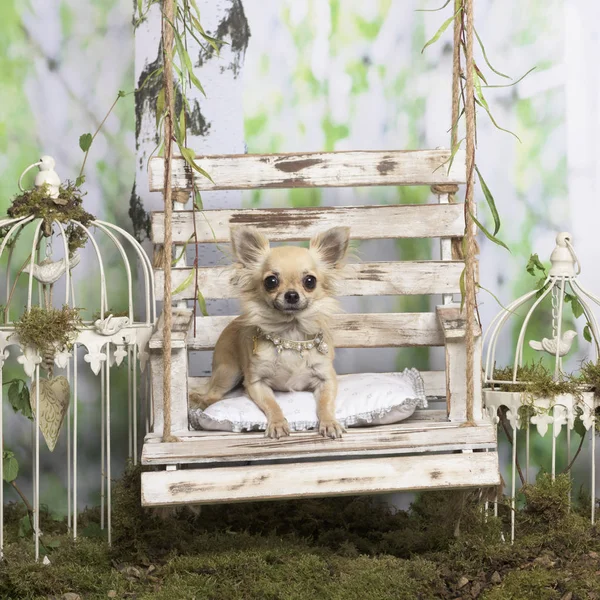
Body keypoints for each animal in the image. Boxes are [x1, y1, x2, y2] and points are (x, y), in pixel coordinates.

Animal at [189, 225, 352, 440]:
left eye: (310, 281)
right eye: (271, 281)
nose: (291, 295)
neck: (290, 333)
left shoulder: (327, 379)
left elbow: (325, 404)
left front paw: (330, 422)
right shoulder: (256, 383)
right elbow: (272, 405)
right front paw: (277, 423)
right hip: (228, 371)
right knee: (212, 394)